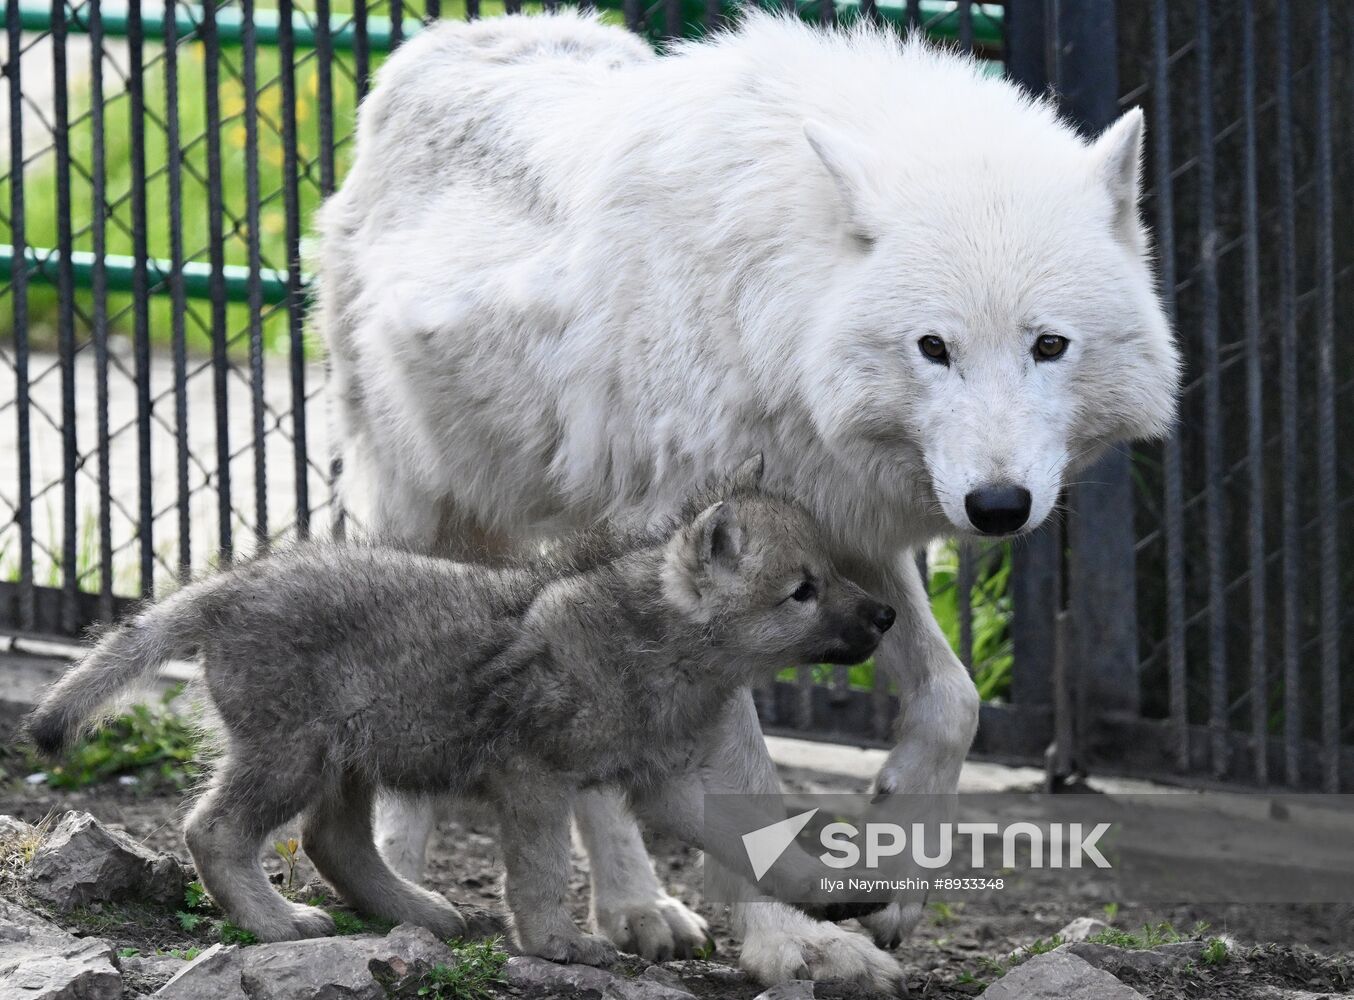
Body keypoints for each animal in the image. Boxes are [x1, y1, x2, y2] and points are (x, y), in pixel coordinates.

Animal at [25, 459, 895, 957]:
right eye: (802, 590)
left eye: (836, 575)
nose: (886, 615)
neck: (657, 640)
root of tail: (229, 587)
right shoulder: (535, 779)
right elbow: (542, 871)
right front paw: (554, 944)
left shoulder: (664, 786)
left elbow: (757, 842)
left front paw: (832, 890)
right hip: (293, 756)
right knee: (214, 829)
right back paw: (275, 925)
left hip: (353, 754)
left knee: (334, 842)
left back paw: (413, 911)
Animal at [313, 10, 1180, 988]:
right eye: (933, 346)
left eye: (1048, 345)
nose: (998, 505)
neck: (778, 308)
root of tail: (448, 38)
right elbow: (745, 784)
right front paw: (798, 945)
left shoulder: (847, 536)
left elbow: (953, 699)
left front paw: (896, 878)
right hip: (421, 509)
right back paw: (401, 891)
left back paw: (637, 910)